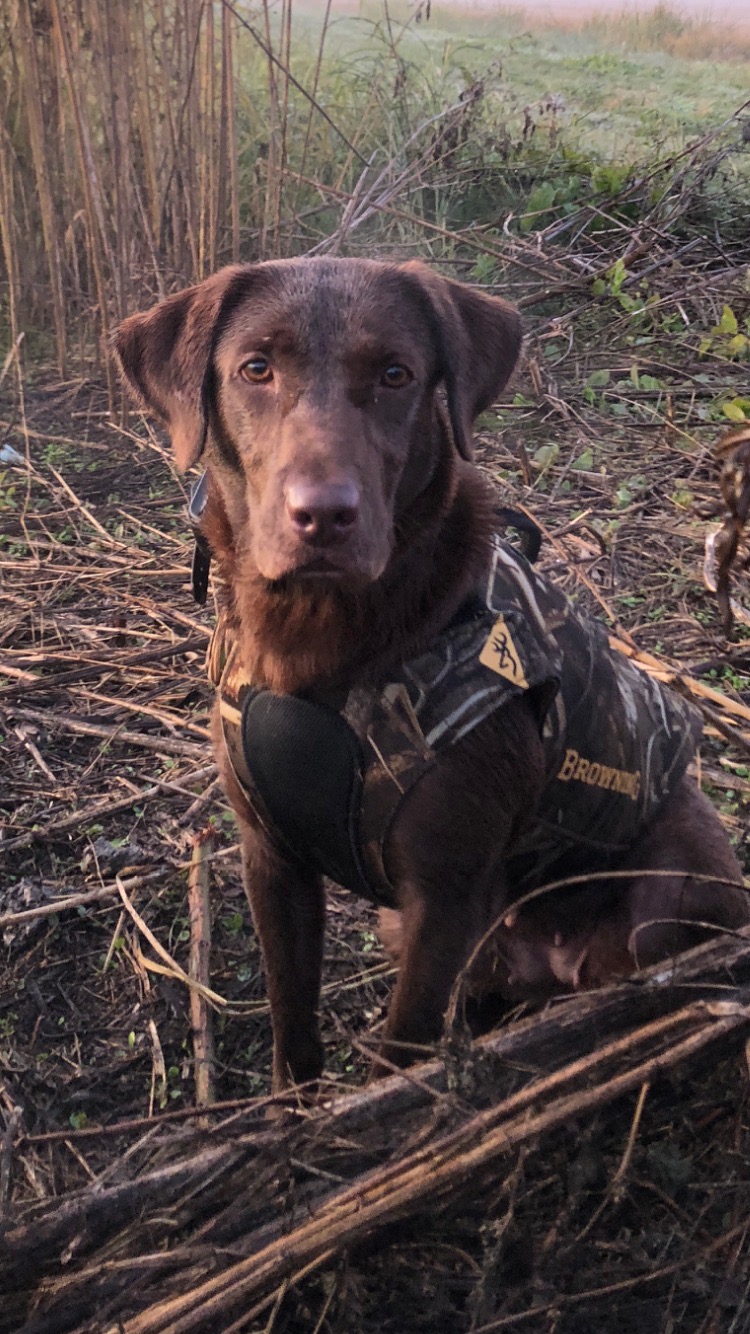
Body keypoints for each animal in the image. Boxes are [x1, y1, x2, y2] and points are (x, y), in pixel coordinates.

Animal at [112, 260, 747, 1093]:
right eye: (255, 369)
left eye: (395, 374)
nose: (324, 516)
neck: (317, 640)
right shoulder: (270, 860)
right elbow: (291, 1023)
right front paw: (296, 1115)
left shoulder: (442, 898)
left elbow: (402, 1046)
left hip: (670, 882)